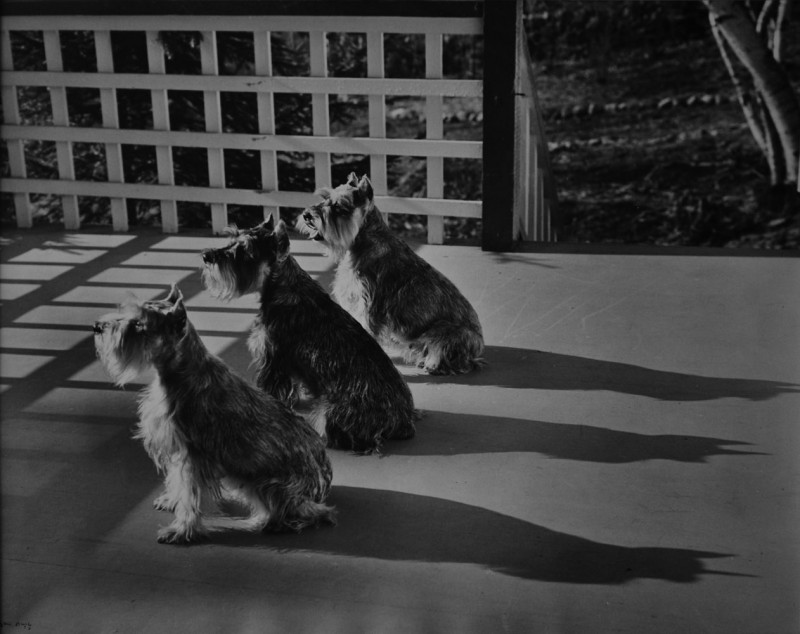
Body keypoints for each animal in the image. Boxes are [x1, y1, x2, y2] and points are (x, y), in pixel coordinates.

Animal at [94, 284, 334, 540]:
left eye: (139, 324)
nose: (97, 326)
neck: (182, 371)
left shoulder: (191, 454)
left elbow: (189, 494)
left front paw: (182, 529)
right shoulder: (176, 448)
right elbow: (176, 481)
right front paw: (171, 501)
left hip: (269, 484)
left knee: (309, 512)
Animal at [200, 218, 418, 454]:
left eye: (245, 250)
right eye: (232, 238)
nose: (207, 256)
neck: (284, 285)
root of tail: (401, 420)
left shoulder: (273, 360)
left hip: (332, 413)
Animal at [298, 170, 484, 372]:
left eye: (339, 207)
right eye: (324, 198)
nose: (306, 215)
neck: (364, 240)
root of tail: (478, 346)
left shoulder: (370, 306)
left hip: (444, 332)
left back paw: (432, 363)